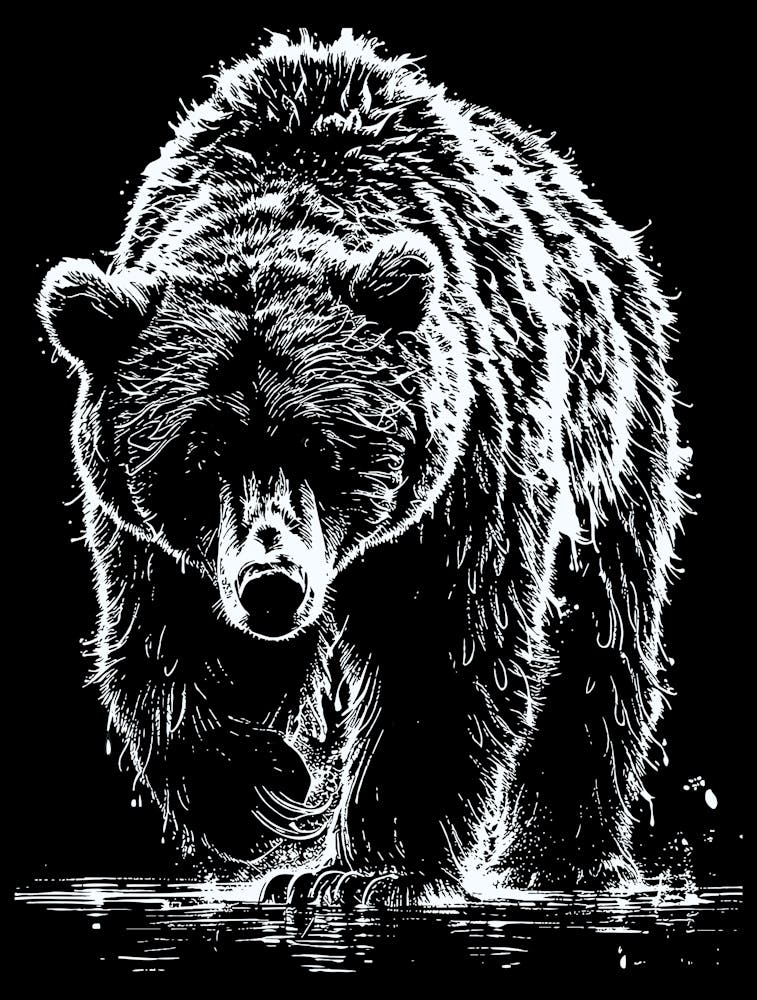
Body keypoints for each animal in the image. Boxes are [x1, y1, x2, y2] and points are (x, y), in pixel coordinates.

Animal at [36, 30, 689, 902]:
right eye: (198, 457)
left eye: (324, 447)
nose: (272, 587)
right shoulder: (153, 536)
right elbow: (177, 649)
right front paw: (262, 793)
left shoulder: (465, 476)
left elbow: (439, 648)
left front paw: (364, 872)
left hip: (610, 445)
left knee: (599, 643)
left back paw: (564, 858)